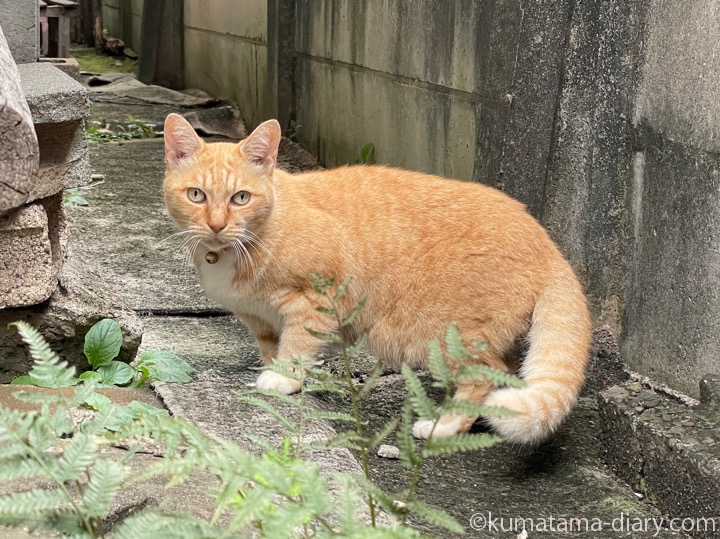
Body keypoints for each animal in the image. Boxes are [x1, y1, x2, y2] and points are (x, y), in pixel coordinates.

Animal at [163, 113, 592, 442]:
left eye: (240, 198)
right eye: (197, 195)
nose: (216, 225)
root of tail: (547, 242)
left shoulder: (317, 299)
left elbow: (298, 344)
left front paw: (284, 379)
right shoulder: (258, 318)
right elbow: (273, 345)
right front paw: (276, 370)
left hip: (445, 336)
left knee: (487, 375)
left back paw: (441, 427)